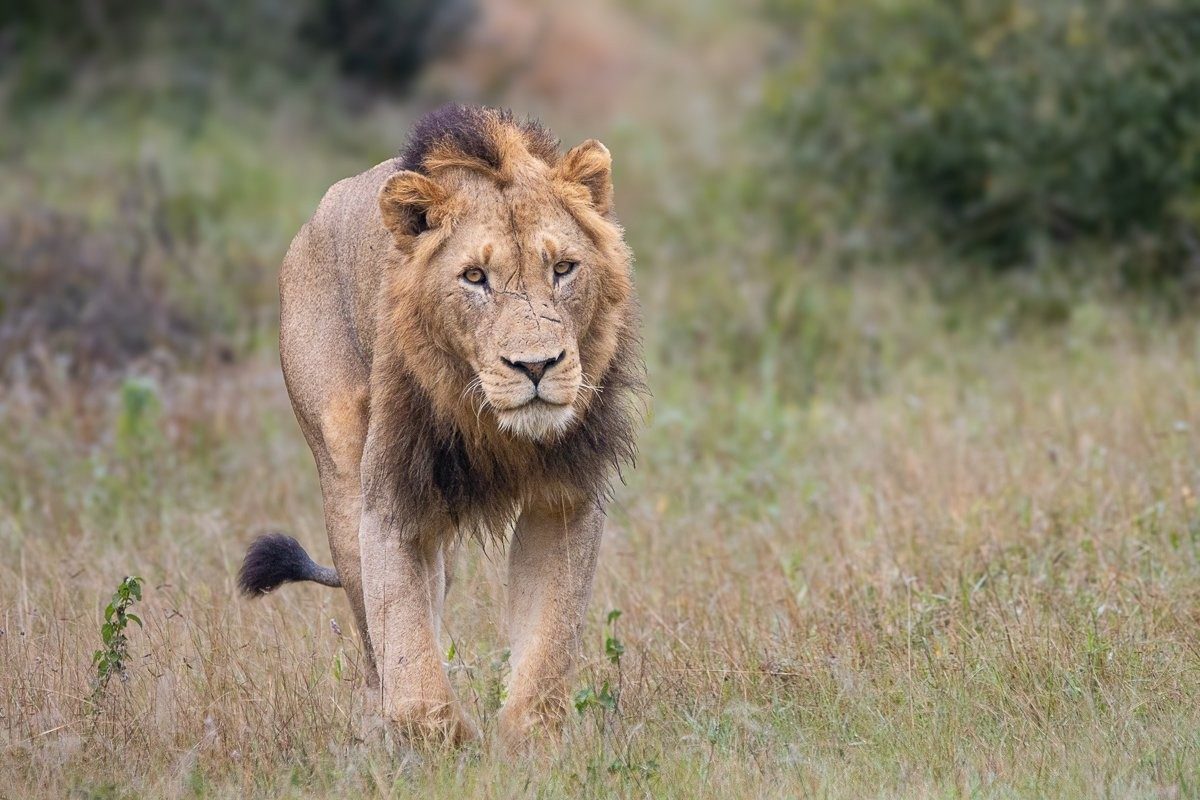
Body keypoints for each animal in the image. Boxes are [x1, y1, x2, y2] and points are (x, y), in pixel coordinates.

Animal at [237, 105, 644, 749]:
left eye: (563, 268)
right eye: (474, 277)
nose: (536, 366)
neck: (494, 425)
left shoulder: (565, 497)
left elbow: (548, 641)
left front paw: (528, 743)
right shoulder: (392, 502)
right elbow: (407, 653)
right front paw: (441, 743)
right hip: (341, 464)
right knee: (374, 632)